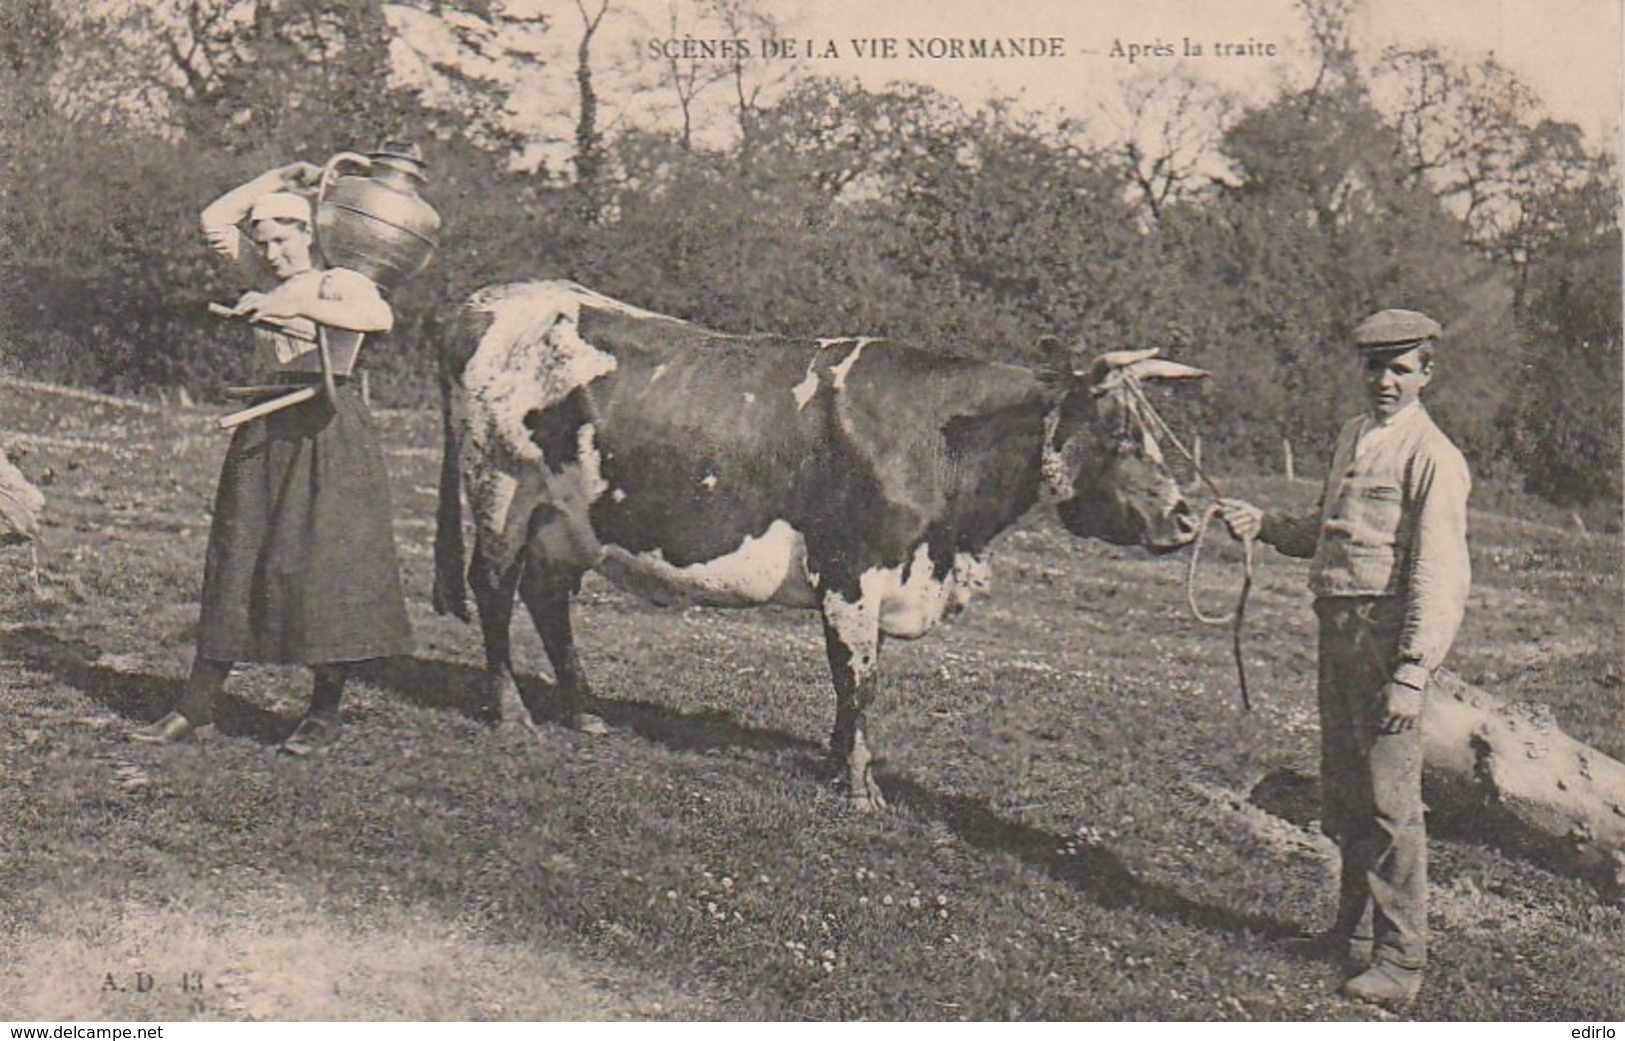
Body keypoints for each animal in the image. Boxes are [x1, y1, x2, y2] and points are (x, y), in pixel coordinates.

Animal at [432, 279, 1209, 808]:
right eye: (1120, 435)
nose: (1184, 518)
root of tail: (484, 301)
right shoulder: (850, 569)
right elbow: (856, 678)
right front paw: (860, 786)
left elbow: (859, 677)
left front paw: (842, 765)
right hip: (500, 484)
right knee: (493, 585)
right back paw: (512, 713)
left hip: (566, 517)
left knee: (547, 596)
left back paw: (586, 712)